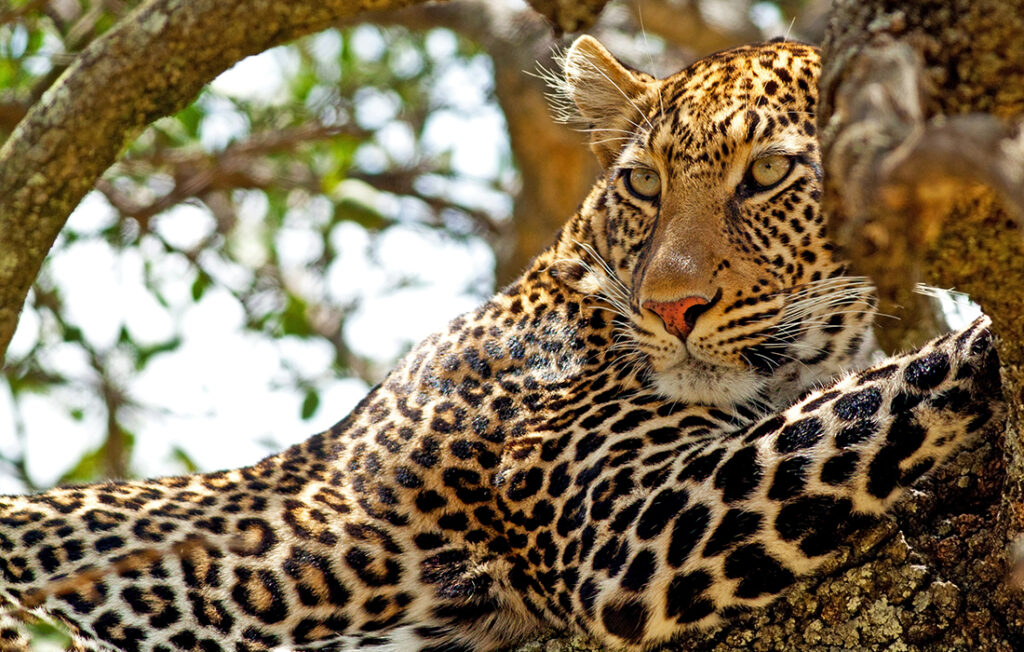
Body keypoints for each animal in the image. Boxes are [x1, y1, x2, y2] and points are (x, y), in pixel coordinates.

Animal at [0, 35, 999, 650]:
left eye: (768, 175)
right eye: (644, 183)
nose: (672, 307)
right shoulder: (631, 529)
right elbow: (869, 404)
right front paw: (982, 342)